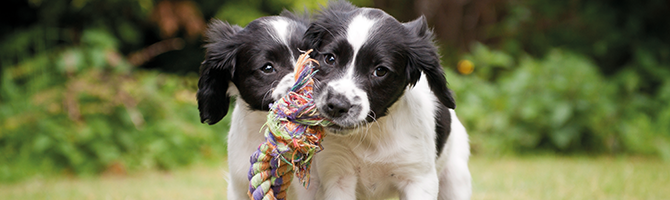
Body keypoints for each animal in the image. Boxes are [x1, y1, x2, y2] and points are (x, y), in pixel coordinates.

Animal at [296, 1, 476, 198]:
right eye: (329, 58)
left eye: (380, 71)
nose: (336, 106)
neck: (373, 135)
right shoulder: (337, 173)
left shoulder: (418, 178)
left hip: (455, 179)